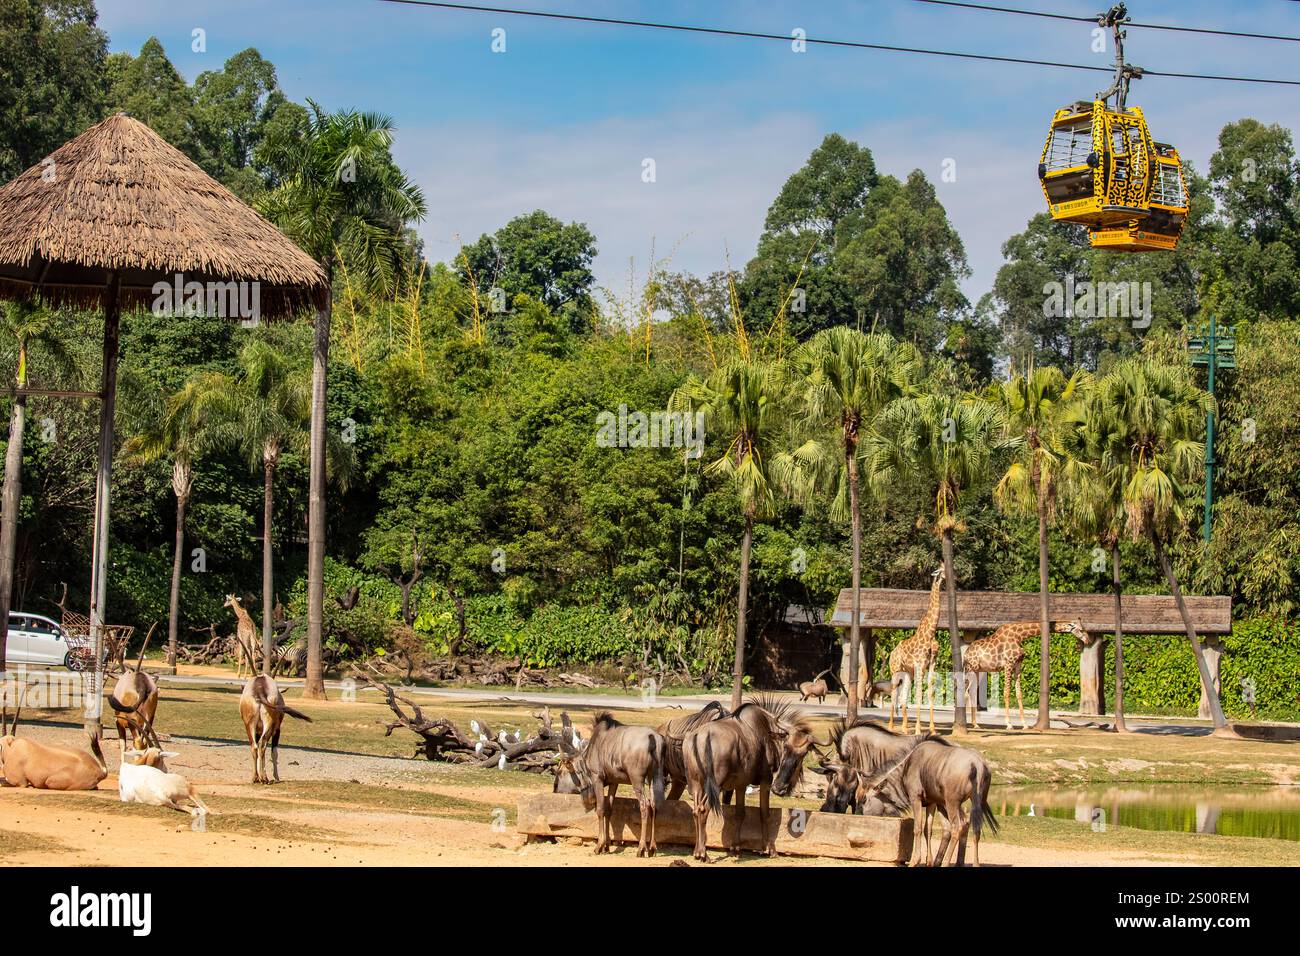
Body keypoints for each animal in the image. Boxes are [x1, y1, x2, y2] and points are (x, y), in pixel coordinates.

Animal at [883, 564, 946, 738]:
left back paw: (904, 728)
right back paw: (891, 726)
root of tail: (892, 653)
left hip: (907, 673)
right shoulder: (919, 664)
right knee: (894, 694)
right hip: (895, 670)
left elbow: (930, 692)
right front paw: (918, 729)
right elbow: (919, 694)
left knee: (903, 697)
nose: (949, 577)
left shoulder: (931, 663)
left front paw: (933, 729)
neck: (930, 632)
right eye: (940, 570)